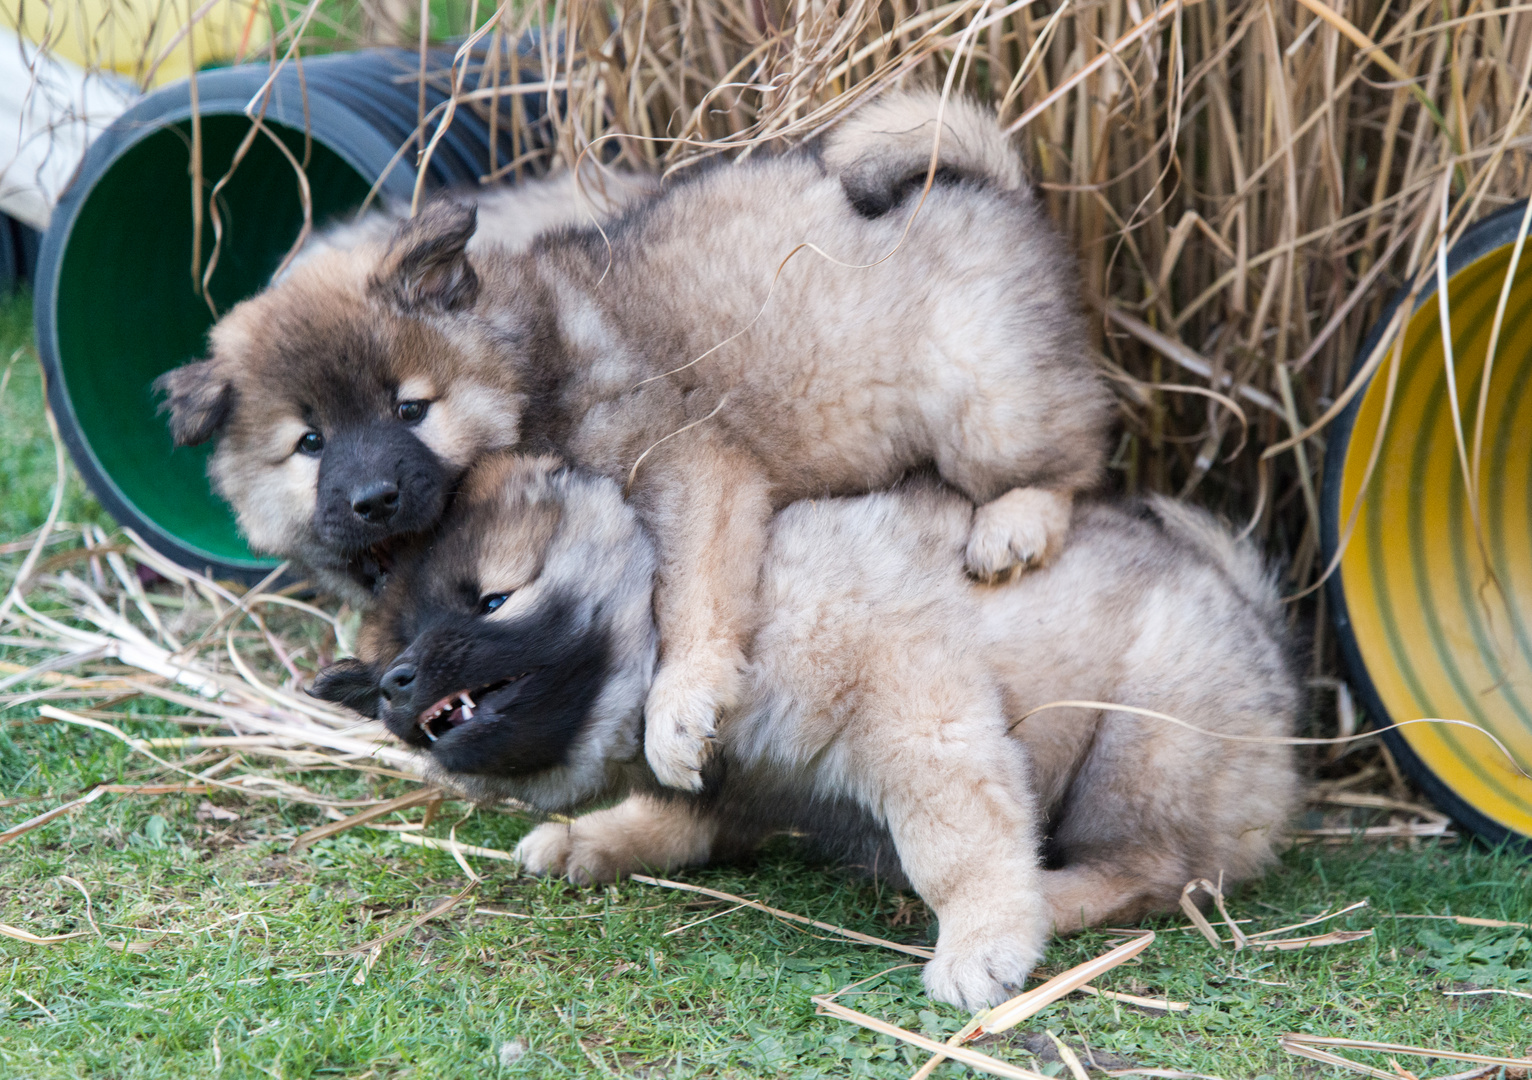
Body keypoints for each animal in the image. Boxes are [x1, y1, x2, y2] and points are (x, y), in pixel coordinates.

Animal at [158, 88, 1115, 790]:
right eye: (310, 443)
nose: (374, 500)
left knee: (1073, 456)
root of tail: (988, 185)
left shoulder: (691, 470)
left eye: (410, 410)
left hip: (981, 398)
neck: (527, 366)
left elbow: (689, 599)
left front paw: (678, 711)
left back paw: (1013, 525)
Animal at [317, 456, 1299, 1011]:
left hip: (1138, 750)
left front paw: (982, 945)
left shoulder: (919, 714)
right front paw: (588, 840)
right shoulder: (733, 779)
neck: (676, 637)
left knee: (1154, 873)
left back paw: (1047, 900)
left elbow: (959, 848)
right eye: (396, 648)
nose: (398, 685)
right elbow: (675, 814)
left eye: (493, 602)